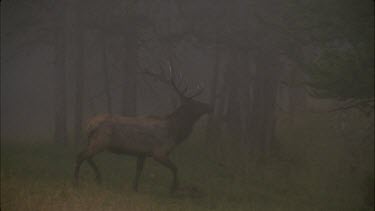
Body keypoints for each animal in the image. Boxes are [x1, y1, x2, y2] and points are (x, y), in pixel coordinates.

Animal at [73, 61, 212, 192]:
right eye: (195, 104)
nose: (210, 106)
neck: (175, 133)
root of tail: (88, 125)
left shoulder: (142, 153)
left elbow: (139, 170)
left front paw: (135, 188)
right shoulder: (159, 152)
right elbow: (175, 168)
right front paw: (173, 189)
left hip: (94, 142)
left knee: (86, 156)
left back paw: (98, 177)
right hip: (100, 141)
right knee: (81, 156)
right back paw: (78, 181)